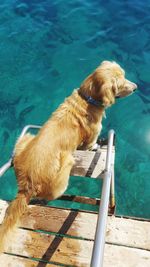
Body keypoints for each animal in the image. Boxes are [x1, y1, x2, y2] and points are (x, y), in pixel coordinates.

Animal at [0, 60, 137, 251]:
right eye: (120, 83)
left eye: (124, 76)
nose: (136, 87)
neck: (87, 99)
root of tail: (26, 184)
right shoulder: (91, 139)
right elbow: (91, 145)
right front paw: (96, 146)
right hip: (66, 168)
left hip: (26, 138)